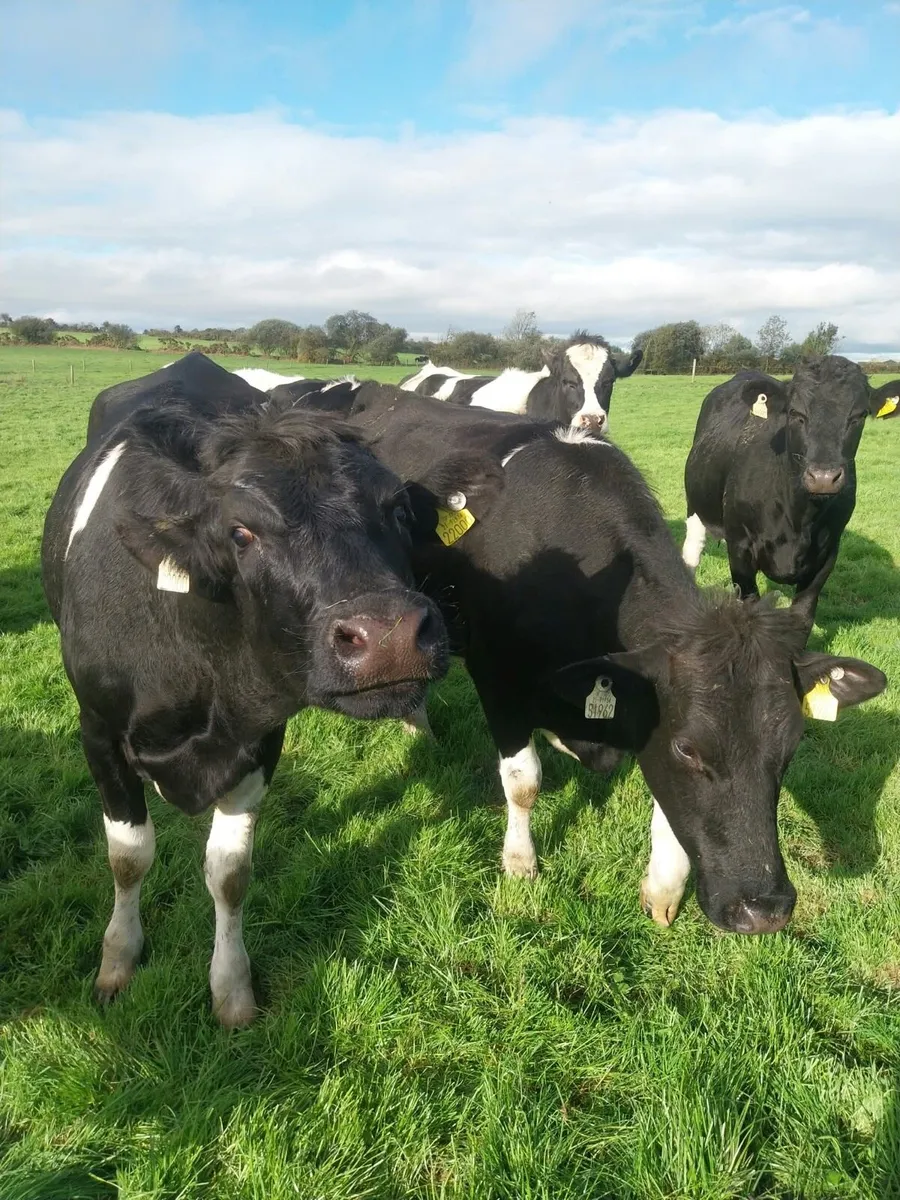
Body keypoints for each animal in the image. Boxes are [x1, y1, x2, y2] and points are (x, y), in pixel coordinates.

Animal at [42, 354, 449, 1026]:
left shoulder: (259, 735)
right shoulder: (96, 732)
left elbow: (230, 872)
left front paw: (231, 989)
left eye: (397, 511)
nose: (389, 636)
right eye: (240, 532)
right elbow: (129, 856)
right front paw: (118, 959)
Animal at [294, 382, 886, 935]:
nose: (763, 909)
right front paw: (520, 862)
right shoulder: (497, 678)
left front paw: (663, 887)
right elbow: (524, 780)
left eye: (791, 745)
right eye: (689, 748)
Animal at [683, 358, 900, 629]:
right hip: (696, 507)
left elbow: (802, 616)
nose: (823, 478)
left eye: (859, 416)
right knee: (692, 554)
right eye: (796, 414)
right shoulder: (739, 547)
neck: (799, 518)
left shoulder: (827, 553)